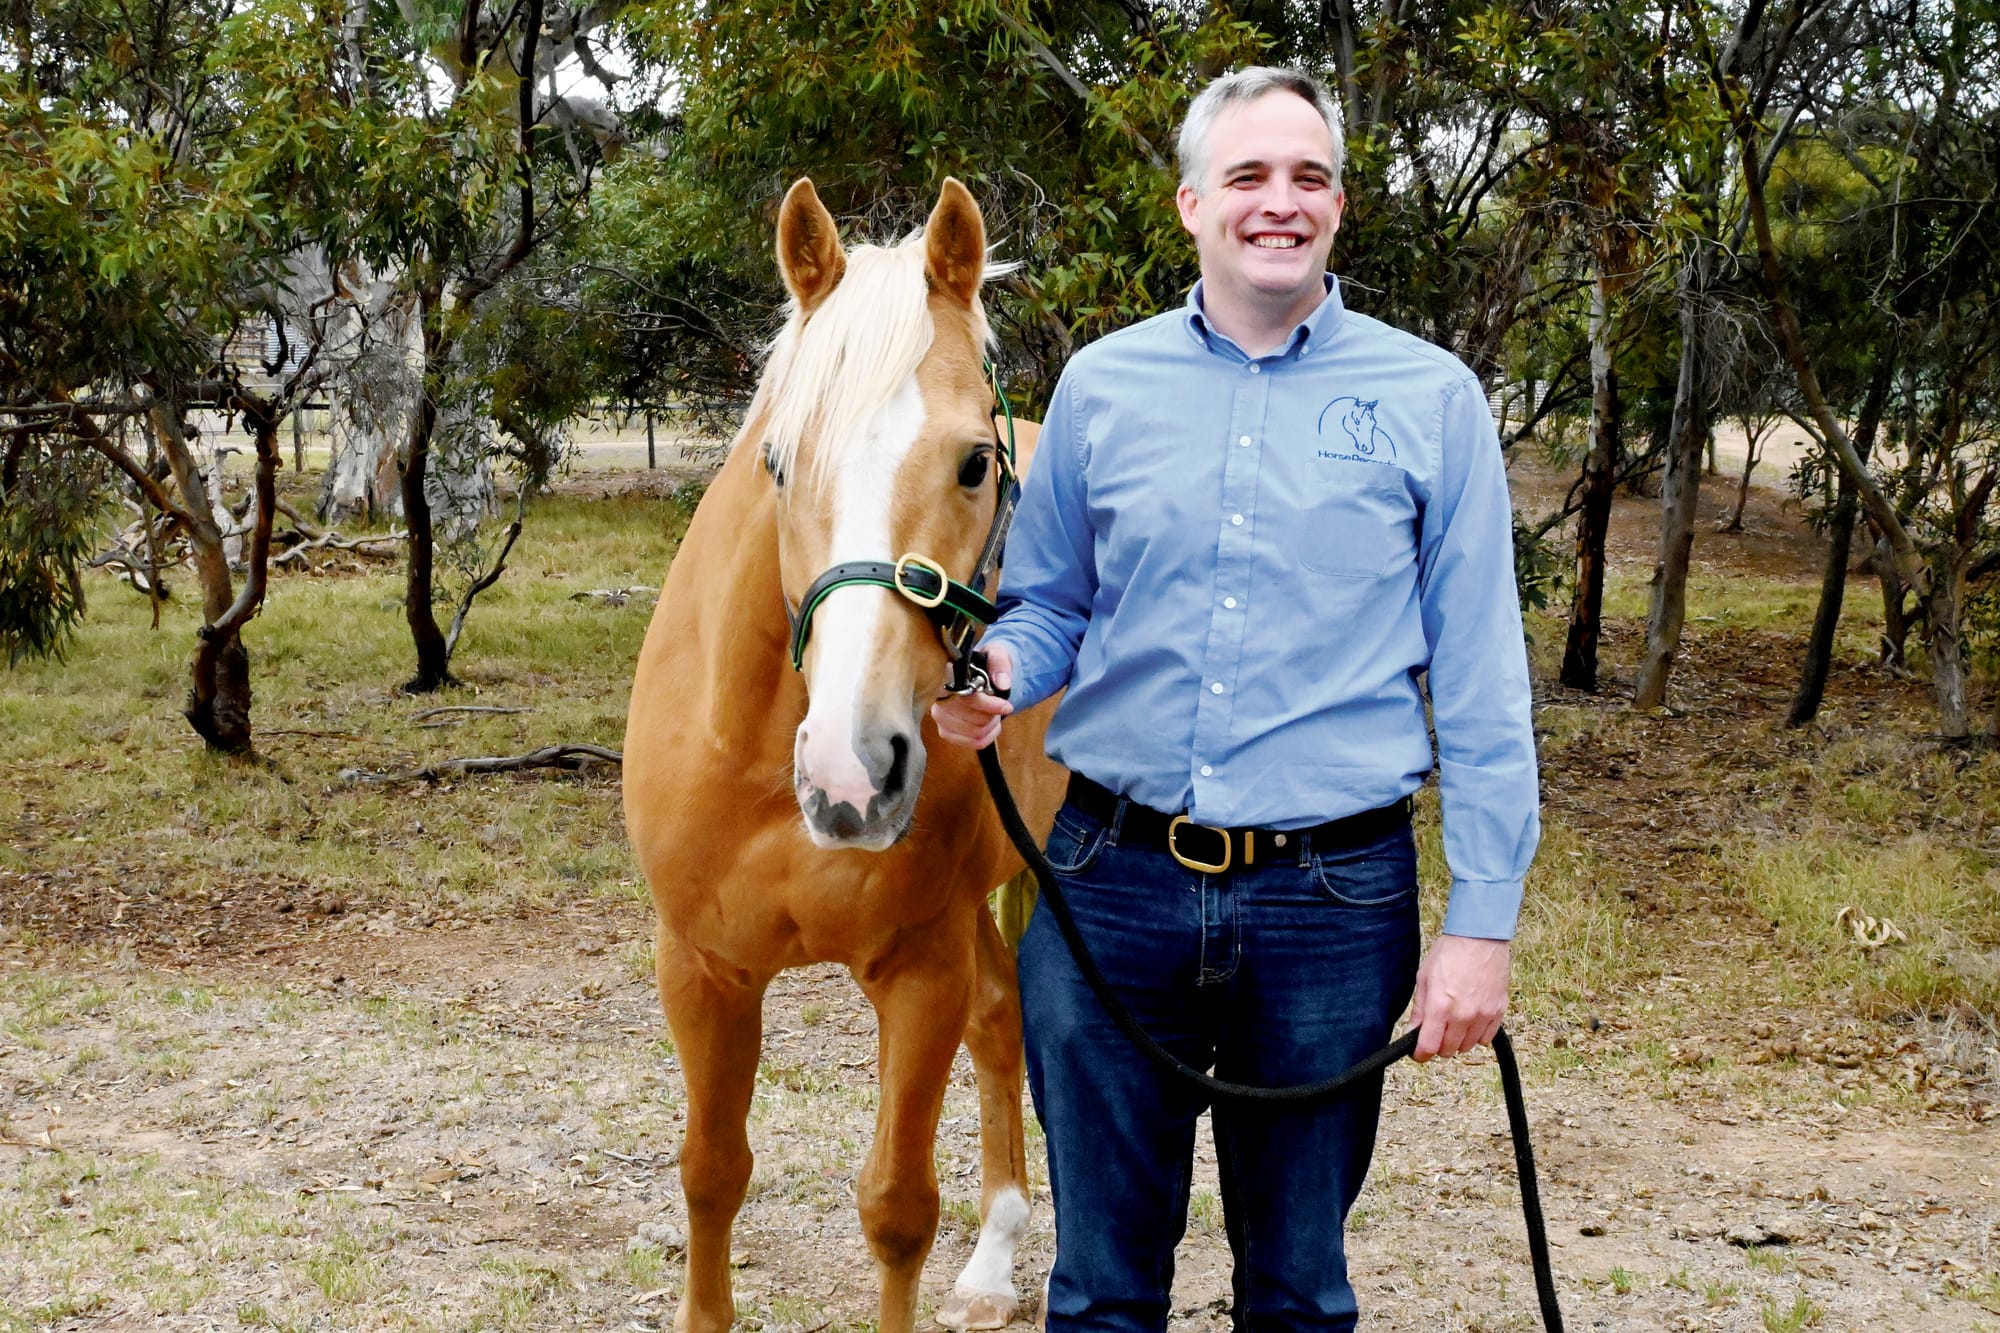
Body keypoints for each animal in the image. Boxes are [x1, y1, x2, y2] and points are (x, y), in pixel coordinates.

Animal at [623, 176, 1067, 1333]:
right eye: (779, 460)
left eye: (972, 462)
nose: (849, 774)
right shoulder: (703, 967)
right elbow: (711, 1172)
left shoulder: (916, 970)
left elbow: (897, 1206)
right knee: (1002, 1015)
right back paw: (994, 1259)